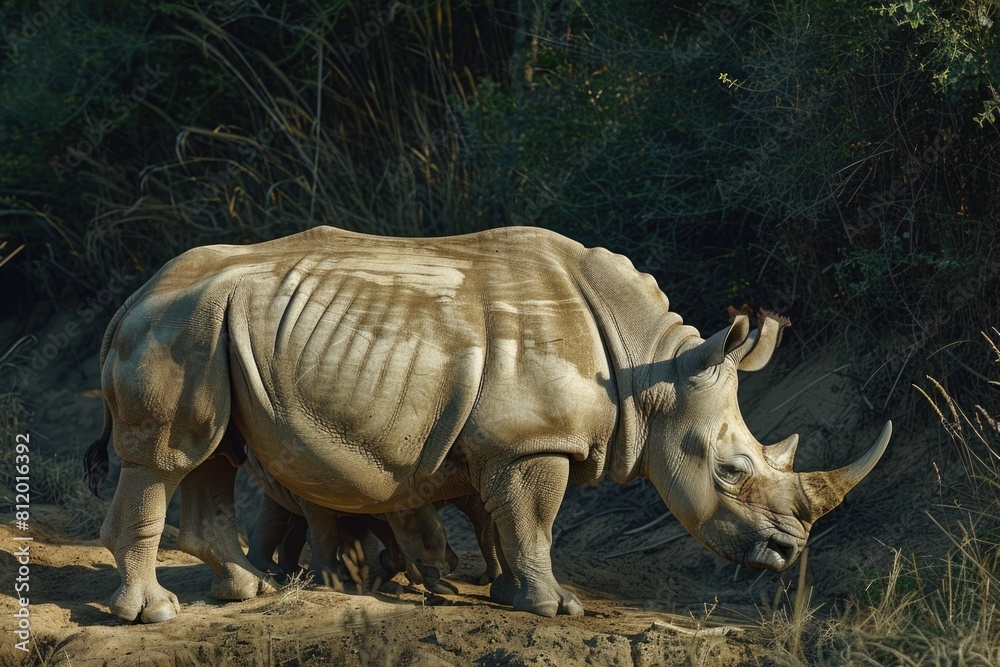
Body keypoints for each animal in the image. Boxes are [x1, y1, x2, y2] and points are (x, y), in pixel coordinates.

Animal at [84, 225, 891, 622]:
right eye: (731, 471)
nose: (788, 553)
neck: (648, 372)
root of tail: (128, 299)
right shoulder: (530, 440)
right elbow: (533, 520)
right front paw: (558, 607)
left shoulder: (503, 443)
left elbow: (502, 520)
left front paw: (507, 595)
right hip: (176, 327)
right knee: (166, 458)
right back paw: (153, 615)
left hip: (205, 328)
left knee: (211, 455)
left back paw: (243, 592)